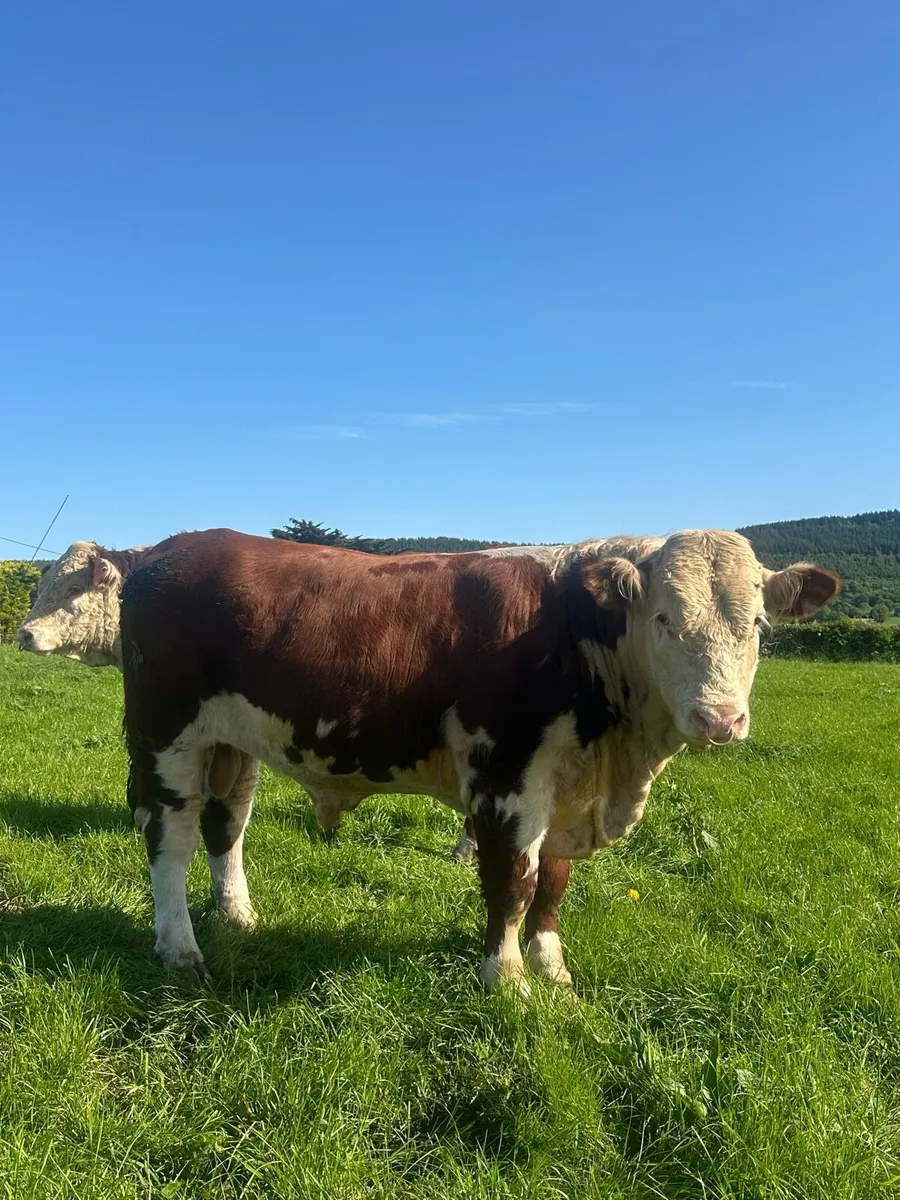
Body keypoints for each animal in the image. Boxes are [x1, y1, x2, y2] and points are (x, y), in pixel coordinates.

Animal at [118, 527, 838, 991]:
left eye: (757, 626)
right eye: (663, 618)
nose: (720, 719)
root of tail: (171, 547)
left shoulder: (566, 788)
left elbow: (554, 883)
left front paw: (553, 969)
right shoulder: (506, 777)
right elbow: (512, 882)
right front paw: (507, 980)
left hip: (235, 741)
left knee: (227, 823)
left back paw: (236, 915)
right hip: (164, 735)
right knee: (171, 838)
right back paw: (180, 947)